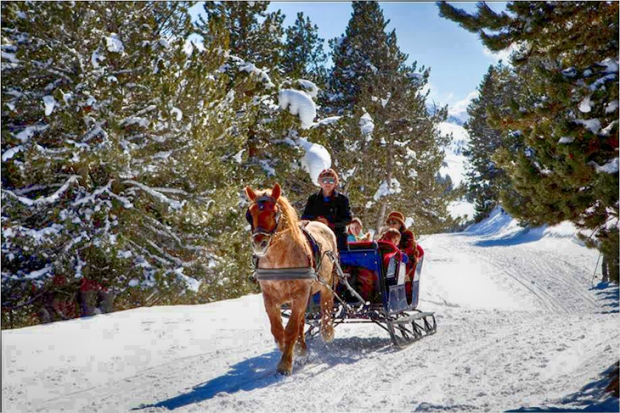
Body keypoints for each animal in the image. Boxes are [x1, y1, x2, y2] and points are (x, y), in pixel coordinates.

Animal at [243, 183, 340, 374]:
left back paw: (327, 332)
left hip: (326, 283)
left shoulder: (300, 294)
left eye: (274, 212)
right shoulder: (270, 297)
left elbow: (291, 329)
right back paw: (302, 349)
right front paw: (290, 351)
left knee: (326, 305)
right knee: (302, 320)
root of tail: (321, 223)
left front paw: (285, 363)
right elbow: (277, 330)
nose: (259, 244)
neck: (280, 262)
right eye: (249, 215)